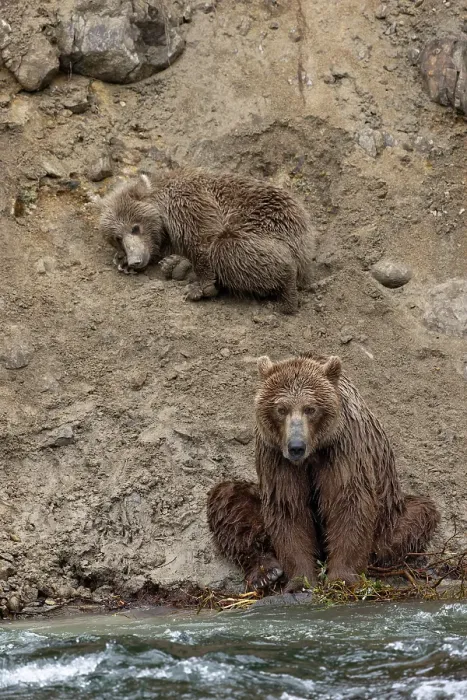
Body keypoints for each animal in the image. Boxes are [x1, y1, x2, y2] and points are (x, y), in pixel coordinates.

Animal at [98, 169, 316, 314]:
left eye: (135, 227)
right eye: (117, 238)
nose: (135, 260)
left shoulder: (189, 204)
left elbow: (202, 240)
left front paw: (200, 287)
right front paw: (122, 262)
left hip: (268, 226)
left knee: (228, 250)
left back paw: (286, 296)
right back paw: (177, 266)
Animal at [207, 353, 440, 591]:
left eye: (310, 408)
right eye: (281, 409)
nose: (296, 446)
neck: (313, 452)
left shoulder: (343, 448)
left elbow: (349, 503)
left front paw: (341, 578)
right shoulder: (276, 456)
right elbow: (288, 507)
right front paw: (300, 580)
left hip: (389, 513)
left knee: (417, 515)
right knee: (227, 499)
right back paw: (265, 572)